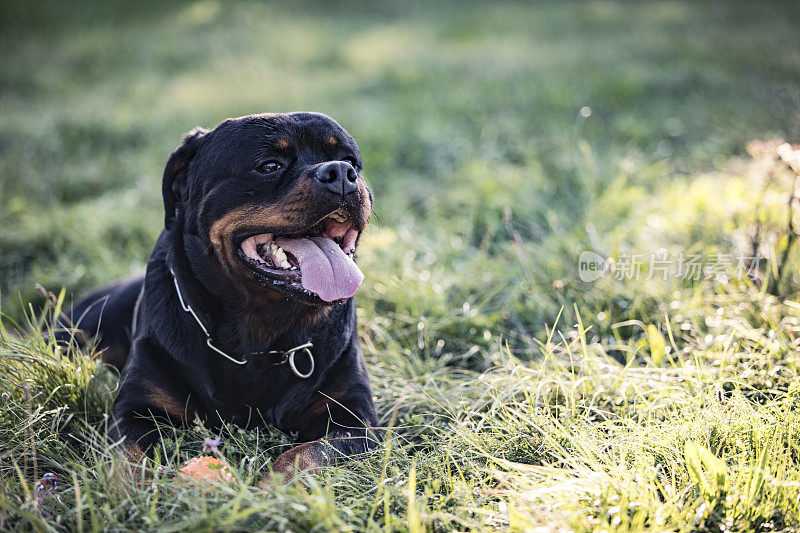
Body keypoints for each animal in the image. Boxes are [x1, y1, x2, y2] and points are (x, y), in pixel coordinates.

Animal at [57, 113, 382, 486]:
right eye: (269, 165)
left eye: (350, 160)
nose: (340, 173)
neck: (258, 341)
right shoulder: (136, 408)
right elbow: (124, 458)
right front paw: (123, 494)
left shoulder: (353, 419)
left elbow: (307, 455)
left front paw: (270, 491)